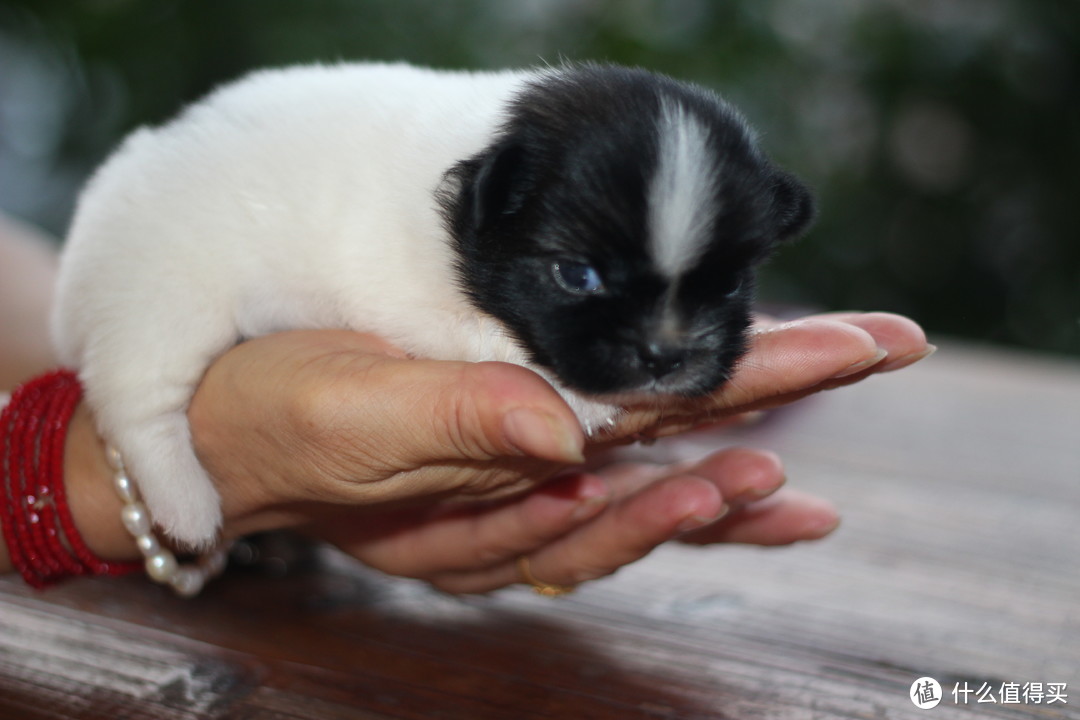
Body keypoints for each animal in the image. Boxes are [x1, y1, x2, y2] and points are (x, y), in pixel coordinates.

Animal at [50, 63, 812, 546]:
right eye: (578, 275)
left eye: (728, 284)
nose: (665, 356)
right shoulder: (405, 298)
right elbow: (482, 334)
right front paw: (576, 395)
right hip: (167, 297)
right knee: (135, 401)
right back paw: (187, 506)